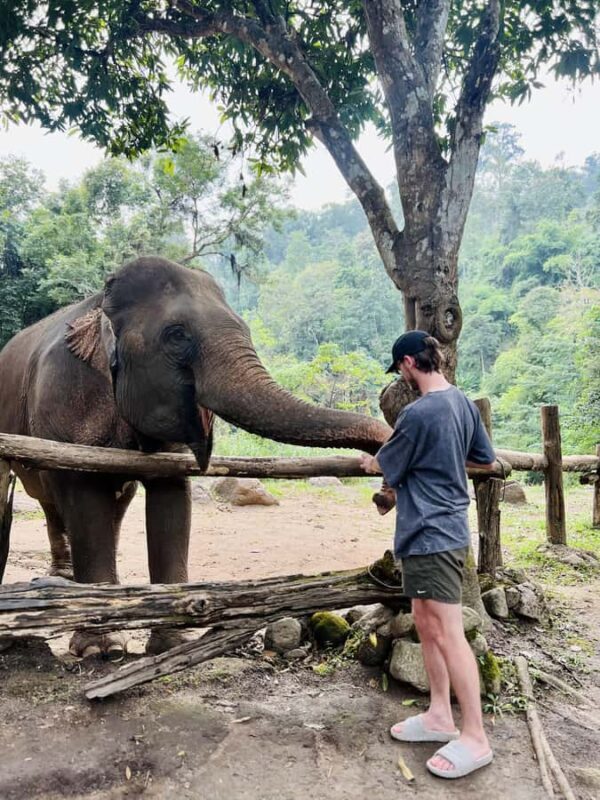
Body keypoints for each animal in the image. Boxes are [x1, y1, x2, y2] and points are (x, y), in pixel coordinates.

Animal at [0, 256, 392, 655]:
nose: (382, 495)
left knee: (113, 502)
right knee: (50, 500)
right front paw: (103, 647)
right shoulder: (68, 399)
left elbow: (171, 500)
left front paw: (173, 638)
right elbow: (85, 496)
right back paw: (64, 583)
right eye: (177, 335)